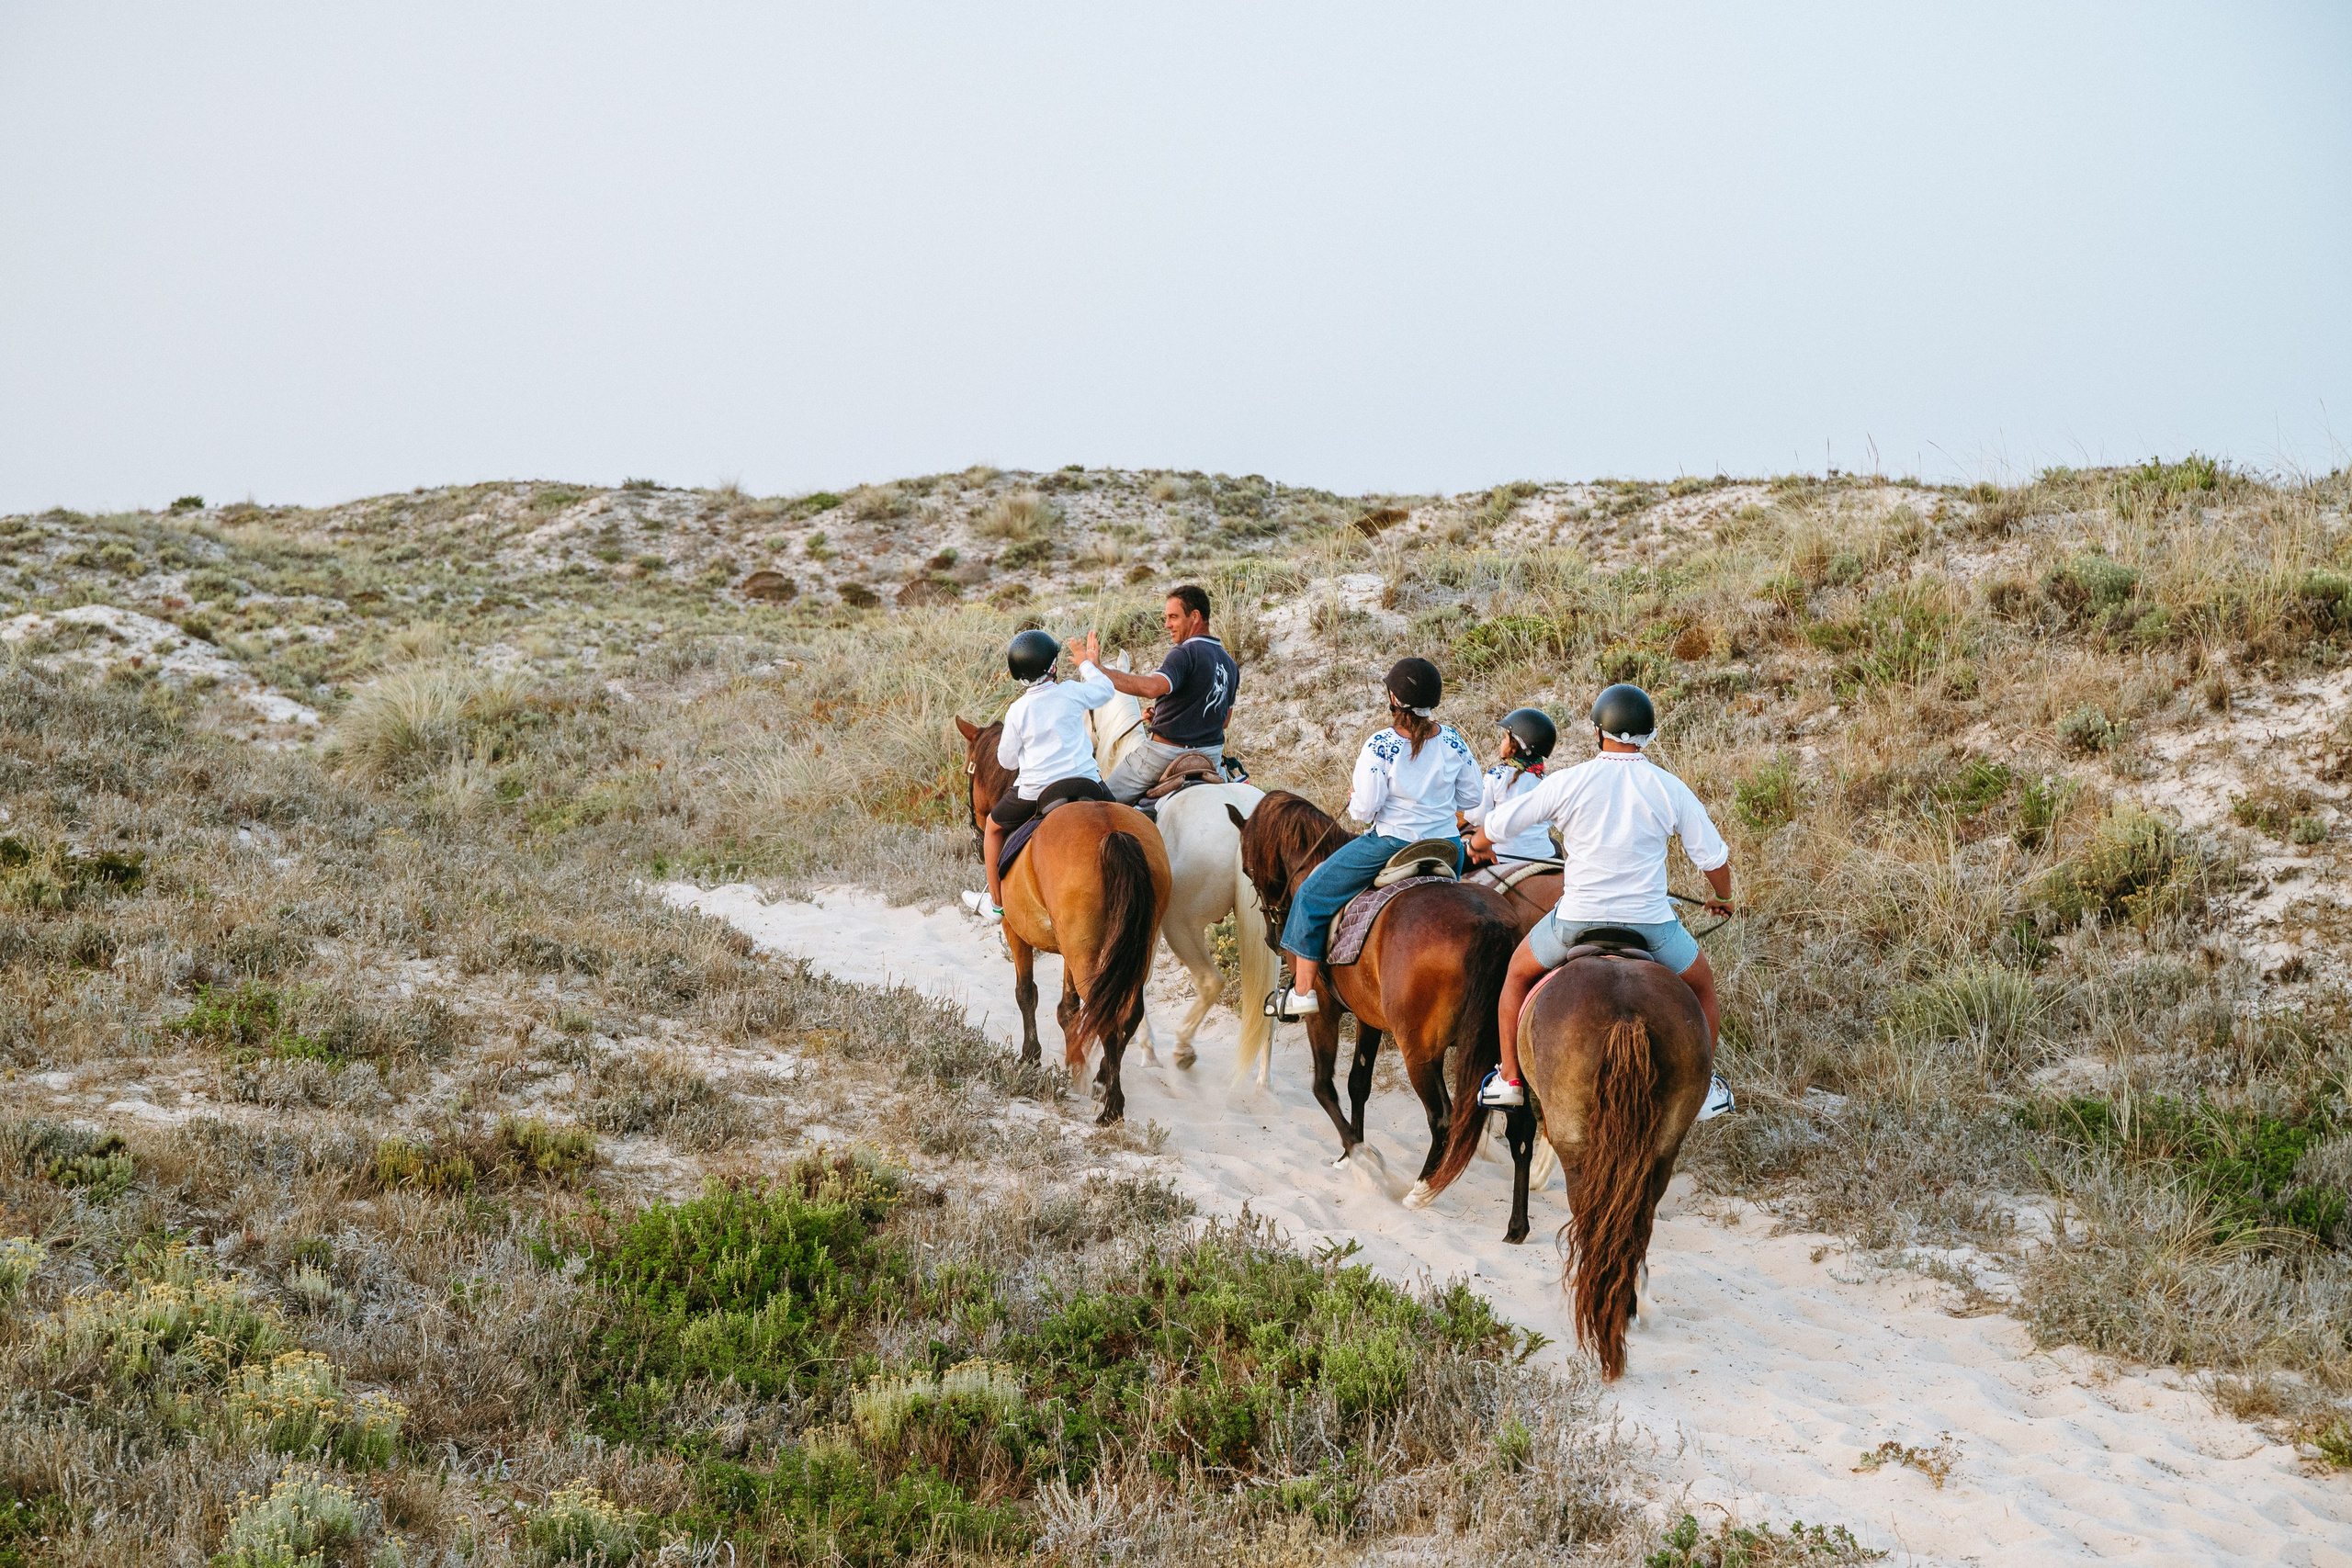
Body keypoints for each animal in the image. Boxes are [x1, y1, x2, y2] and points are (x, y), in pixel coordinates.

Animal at [953, 716, 1172, 1125]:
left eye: (967, 772)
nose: (975, 834)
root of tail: (1111, 831)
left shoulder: (1015, 931)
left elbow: (1026, 992)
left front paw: (1030, 1057)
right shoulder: (1074, 946)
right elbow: (1068, 1007)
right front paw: (1077, 1065)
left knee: (1107, 1012)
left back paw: (1111, 1107)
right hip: (1131, 945)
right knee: (1125, 1011)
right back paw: (1103, 1080)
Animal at [1228, 791, 1520, 1194]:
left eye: (1247, 871)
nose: (1273, 938)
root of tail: (1490, 924)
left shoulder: (1323, 1012)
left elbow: (1322, 1086)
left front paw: (1359, 1153)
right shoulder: (1369, 1017)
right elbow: (1357, 1084)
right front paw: (1347, 1153)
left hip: (1419, 1052)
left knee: (1442, 1118)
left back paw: (1421, 1188)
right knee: (1522, 1129)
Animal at [1422, 942, 1711, 1380]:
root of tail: (1627, 1013)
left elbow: (1521, 1142)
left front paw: (1517, 1228)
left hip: (1577, 1143)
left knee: (1591, 1217)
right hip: (1661, 1150)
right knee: (1634, 1222)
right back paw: (1624, 1304)